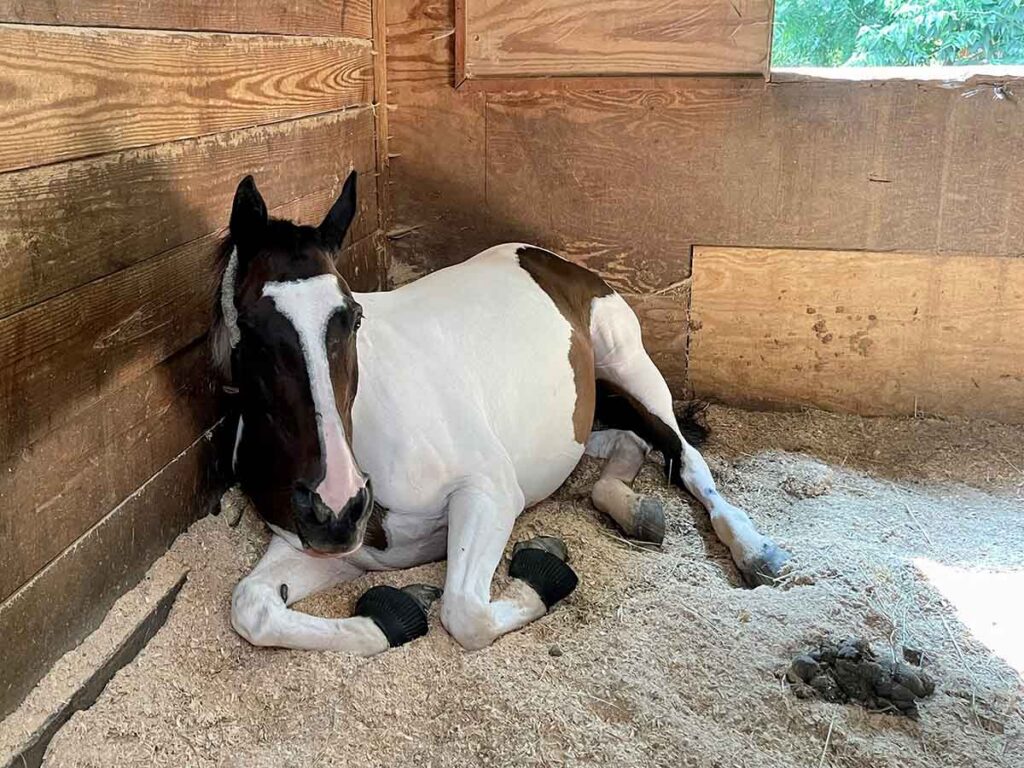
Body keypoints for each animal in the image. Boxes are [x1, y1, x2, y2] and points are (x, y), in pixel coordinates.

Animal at [212, 171, 791, 654]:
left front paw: (543, 576)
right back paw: (633, 510)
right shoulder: (327, 550)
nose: (336, 506)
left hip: (632, 366)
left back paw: (754, 551)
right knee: (628, 444)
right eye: (252, 326)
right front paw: (395, 615)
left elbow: (466, 613)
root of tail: (544, 256)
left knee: (683, 455)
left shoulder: (488, 491)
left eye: (352, 316)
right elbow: (252, 607)